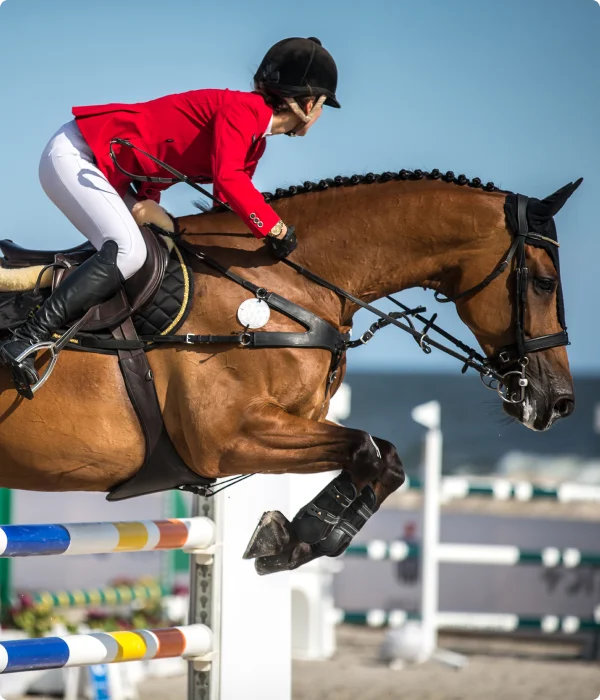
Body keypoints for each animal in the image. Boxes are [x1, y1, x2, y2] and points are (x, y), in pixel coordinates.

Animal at [0, 168, 581, 574]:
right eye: (545, 283)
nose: (559, 402)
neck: (282, 281)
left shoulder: (291, 424)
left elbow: (385, 458)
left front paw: (297, 539)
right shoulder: (227, 437)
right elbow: (367, 450)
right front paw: (296, 536)